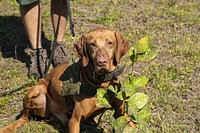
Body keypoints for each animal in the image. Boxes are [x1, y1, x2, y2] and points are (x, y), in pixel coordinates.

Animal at [0, 27, 135, 132]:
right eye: (92, 44)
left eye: (110, 43)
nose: (101, 62)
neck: (102, 83)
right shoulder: (75, 120)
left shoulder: (121, 112)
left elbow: (132, 125)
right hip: (37, 90)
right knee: (24, 116)